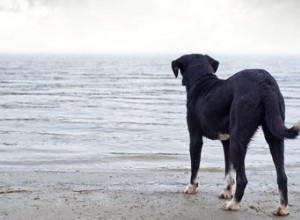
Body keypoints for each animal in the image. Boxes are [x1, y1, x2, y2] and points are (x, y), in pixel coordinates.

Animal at [171, 54, 300, 216]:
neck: (202, 80)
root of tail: (265, 82)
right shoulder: (226, 140)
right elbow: (229, 170)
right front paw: (227, 191)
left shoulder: (195, 137)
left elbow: (195, 166)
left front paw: (192, 187)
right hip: (274, 135)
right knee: (282, 176)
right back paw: (283, 208)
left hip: (237, 140)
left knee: (243, 179)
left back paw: (234, 204)